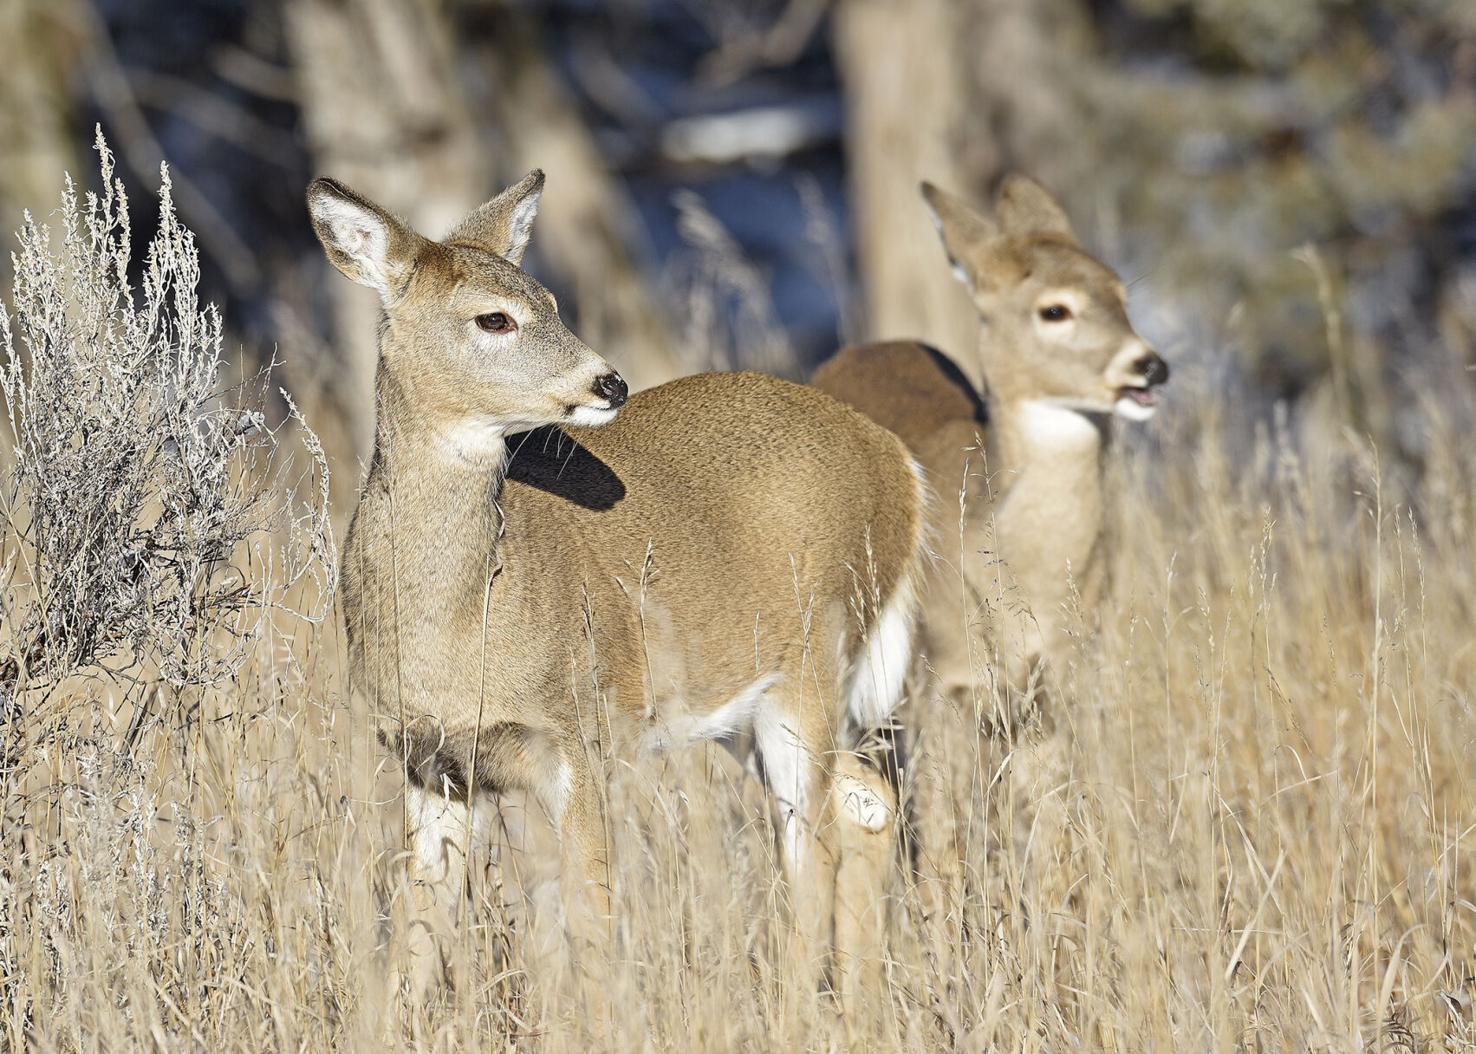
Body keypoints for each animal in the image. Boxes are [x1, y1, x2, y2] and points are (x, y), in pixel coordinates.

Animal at [304, 168, 921, 997]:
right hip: (743, 706)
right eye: (494, 318)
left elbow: (591, 921)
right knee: (867, 805)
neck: (466, 617)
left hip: (812, 664)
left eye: (553, 301)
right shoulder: (430, 760)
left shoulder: (579, 730)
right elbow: (417, 937)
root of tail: (897, 463)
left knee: (814, 845)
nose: (610, 381)